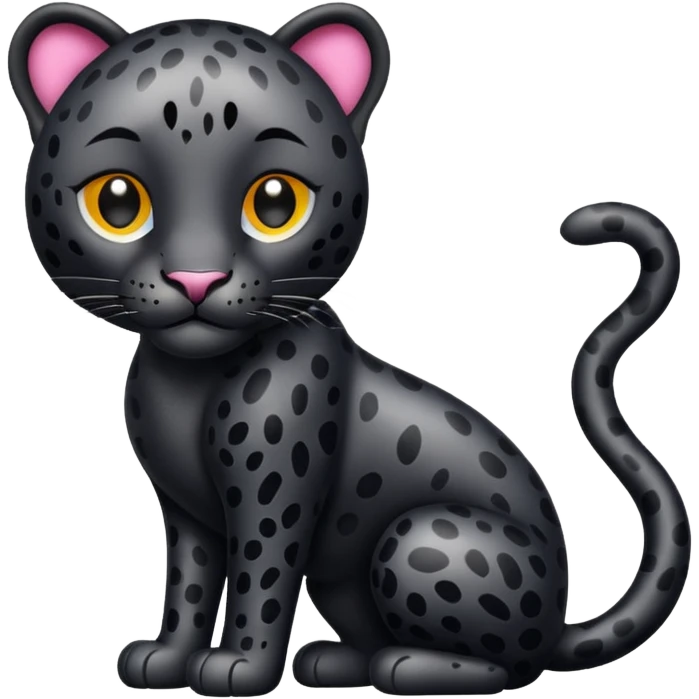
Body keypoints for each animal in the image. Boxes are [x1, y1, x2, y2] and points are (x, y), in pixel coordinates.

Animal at [9, 3, 691, 696]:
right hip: (342, 581)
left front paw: (238, 666)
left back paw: (408, 665)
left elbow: (260, 579)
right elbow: (189, 584)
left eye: (276, 202)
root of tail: (559, 621)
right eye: (117, 201)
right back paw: (335, 661)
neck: (189, 383)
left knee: (509, 664)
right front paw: (167, 658)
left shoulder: (274, 493)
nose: (196, 280)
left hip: (419, 539)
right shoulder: (183, 510)